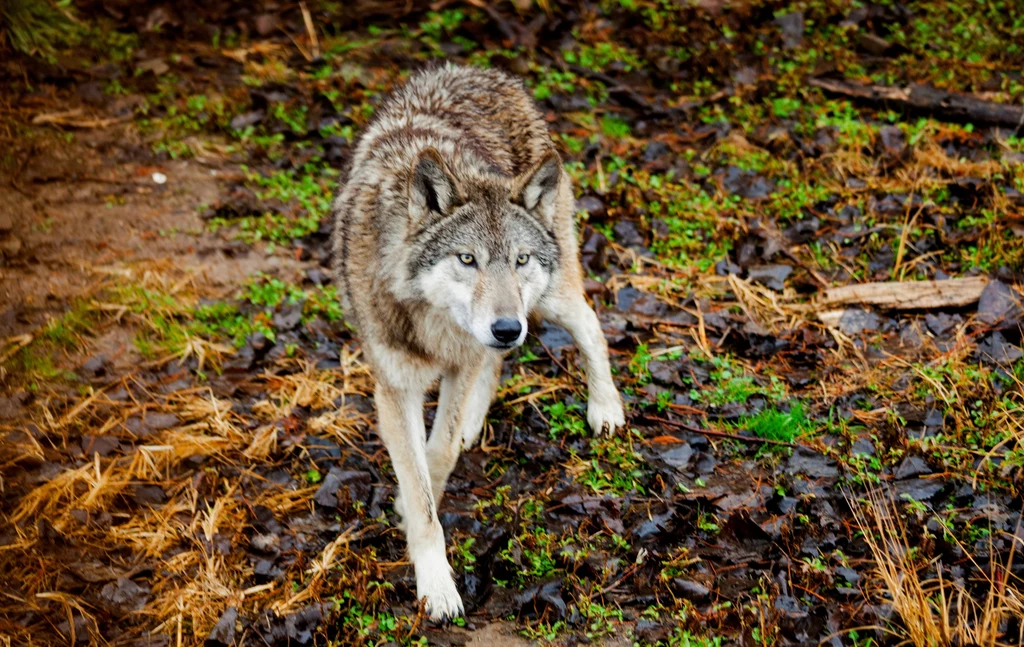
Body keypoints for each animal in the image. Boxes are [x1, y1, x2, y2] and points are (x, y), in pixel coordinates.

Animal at [331, 63, 626, 618]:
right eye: (467, 259)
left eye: (519, 259)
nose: (506, 328)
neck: (433, 324)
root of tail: (482, 71)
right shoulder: (395, 387)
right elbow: (421, 478)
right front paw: (436, 582)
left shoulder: (465, 353)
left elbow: (439, 454)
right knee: (498, 363)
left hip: (548, 299)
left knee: (589, 324)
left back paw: (606, 409)